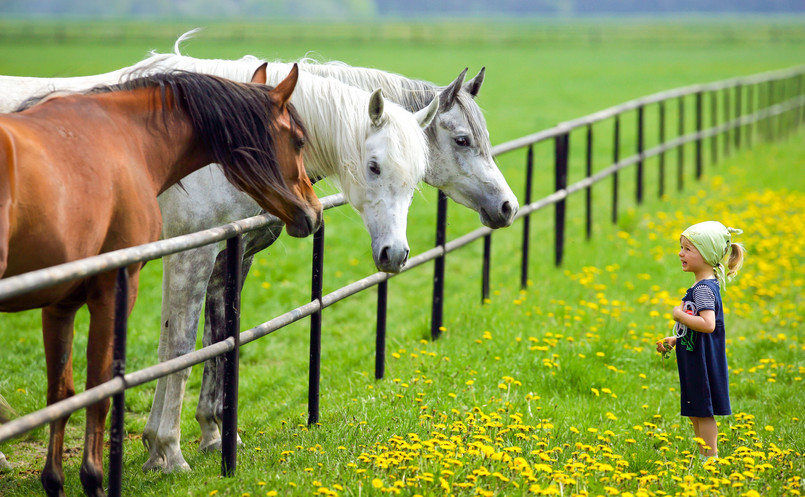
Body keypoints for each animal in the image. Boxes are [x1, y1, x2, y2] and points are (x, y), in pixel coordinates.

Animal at [0, 65, 320, 496]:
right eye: (299, 140)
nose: (314, 212)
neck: (130, 142)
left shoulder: (60, 302)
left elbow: (62, 392)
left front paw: (56, 481)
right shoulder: (124, 284)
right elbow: (121, 380)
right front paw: (124, 468)